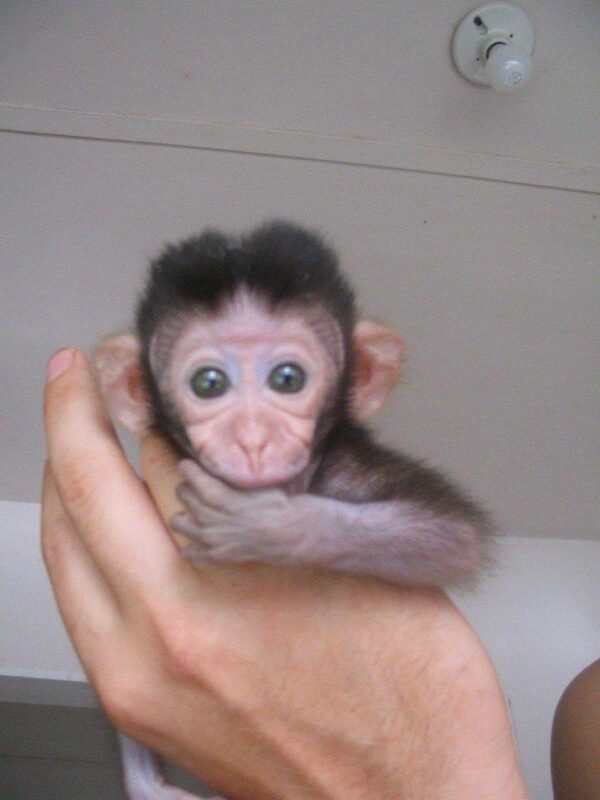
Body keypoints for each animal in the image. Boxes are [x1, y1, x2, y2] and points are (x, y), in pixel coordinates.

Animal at [92, 219, 488, 800]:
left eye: (287, 379)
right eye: (208, 385)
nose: (253, 439)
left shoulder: (352, 467)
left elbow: (453, 538)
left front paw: (268, 525)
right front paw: (150, 787)